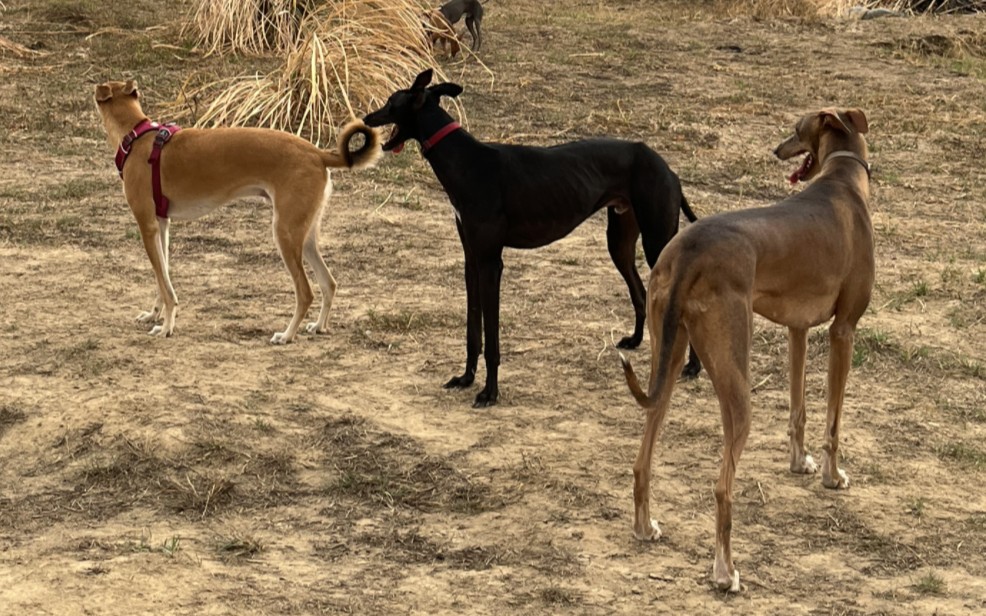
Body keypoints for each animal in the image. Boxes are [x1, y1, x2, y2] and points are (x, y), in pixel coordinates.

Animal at [94, 78, 380, 342]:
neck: (137, 137)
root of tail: (317, 153)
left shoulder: (147, 226)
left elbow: (165, 287)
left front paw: (166, 326)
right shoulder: (161, 226)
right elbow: (161, 276)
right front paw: (155, 315)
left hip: (285, 234)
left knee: (305, 292)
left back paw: (287, 335)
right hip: (305, 235)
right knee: (329, 283)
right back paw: (319, 325)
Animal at [364, 70, 700, 406]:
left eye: (391, 102)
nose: (367, 118)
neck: (465, 160)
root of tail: (667, 168)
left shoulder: (491, 263)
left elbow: (492, 339)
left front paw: (489, 392)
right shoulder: (472, 260)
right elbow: (473, 331)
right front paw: (466, 378)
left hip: (657, 242)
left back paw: (693, 366)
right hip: (619, 242)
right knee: (639, 292)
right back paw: (640, 341)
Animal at [620, 109, 872, 592]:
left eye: (796, 130)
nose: (776, 149)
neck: (842, 180)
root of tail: (688, 251)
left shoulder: (797, 329)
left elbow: (798, 409)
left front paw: (799, 462)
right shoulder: (843, 332)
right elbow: (833, 421)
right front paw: (832, 475)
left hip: (671, 358)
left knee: (642, 460)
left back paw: (644, 527)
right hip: (736, 384)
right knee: (722, 489)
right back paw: (725, 572)